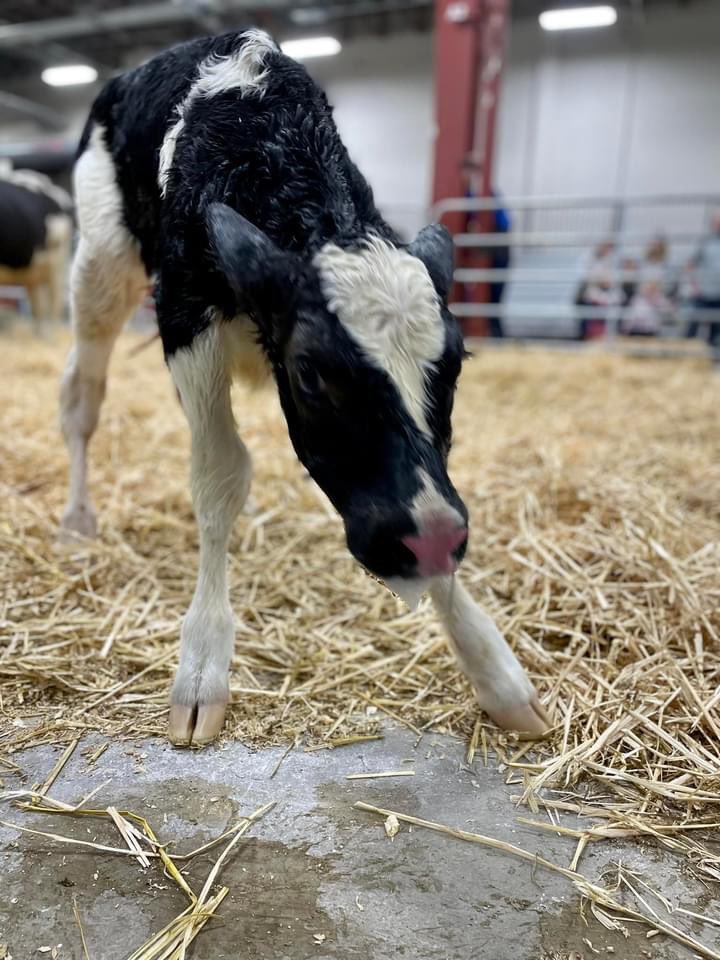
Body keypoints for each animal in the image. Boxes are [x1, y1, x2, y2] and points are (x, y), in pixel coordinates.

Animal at [59, 29, 552, 746]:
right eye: (312, 375)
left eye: (457, 364)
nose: (426, 538)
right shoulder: (184, 314)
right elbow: (219, 473)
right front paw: (202, 666)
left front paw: (496, 673)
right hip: (101, 264)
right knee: (82, 397)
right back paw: (77, 517)